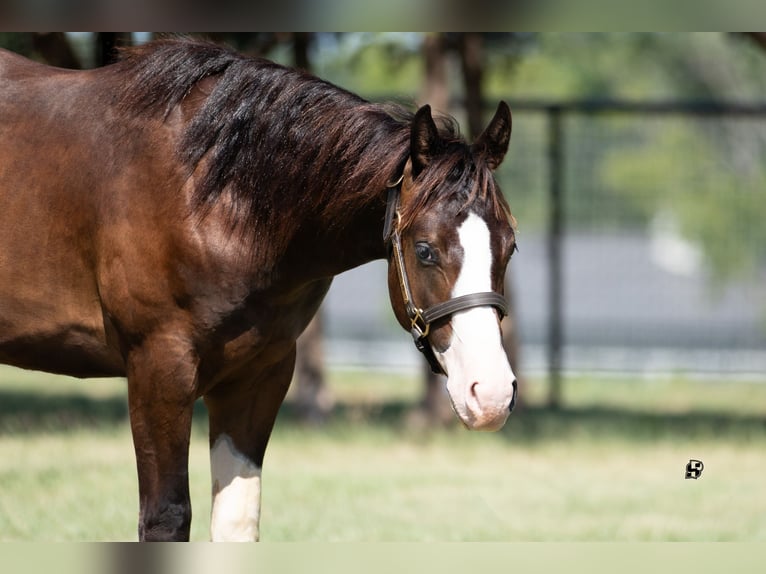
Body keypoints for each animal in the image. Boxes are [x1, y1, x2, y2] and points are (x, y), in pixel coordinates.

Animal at [0, 38, 520, 544]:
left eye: (511, 246)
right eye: (425, 250)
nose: (491, 395)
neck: (215, 194)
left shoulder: (259, 374)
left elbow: (236, 520)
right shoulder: (158, 366)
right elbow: (166, 518)